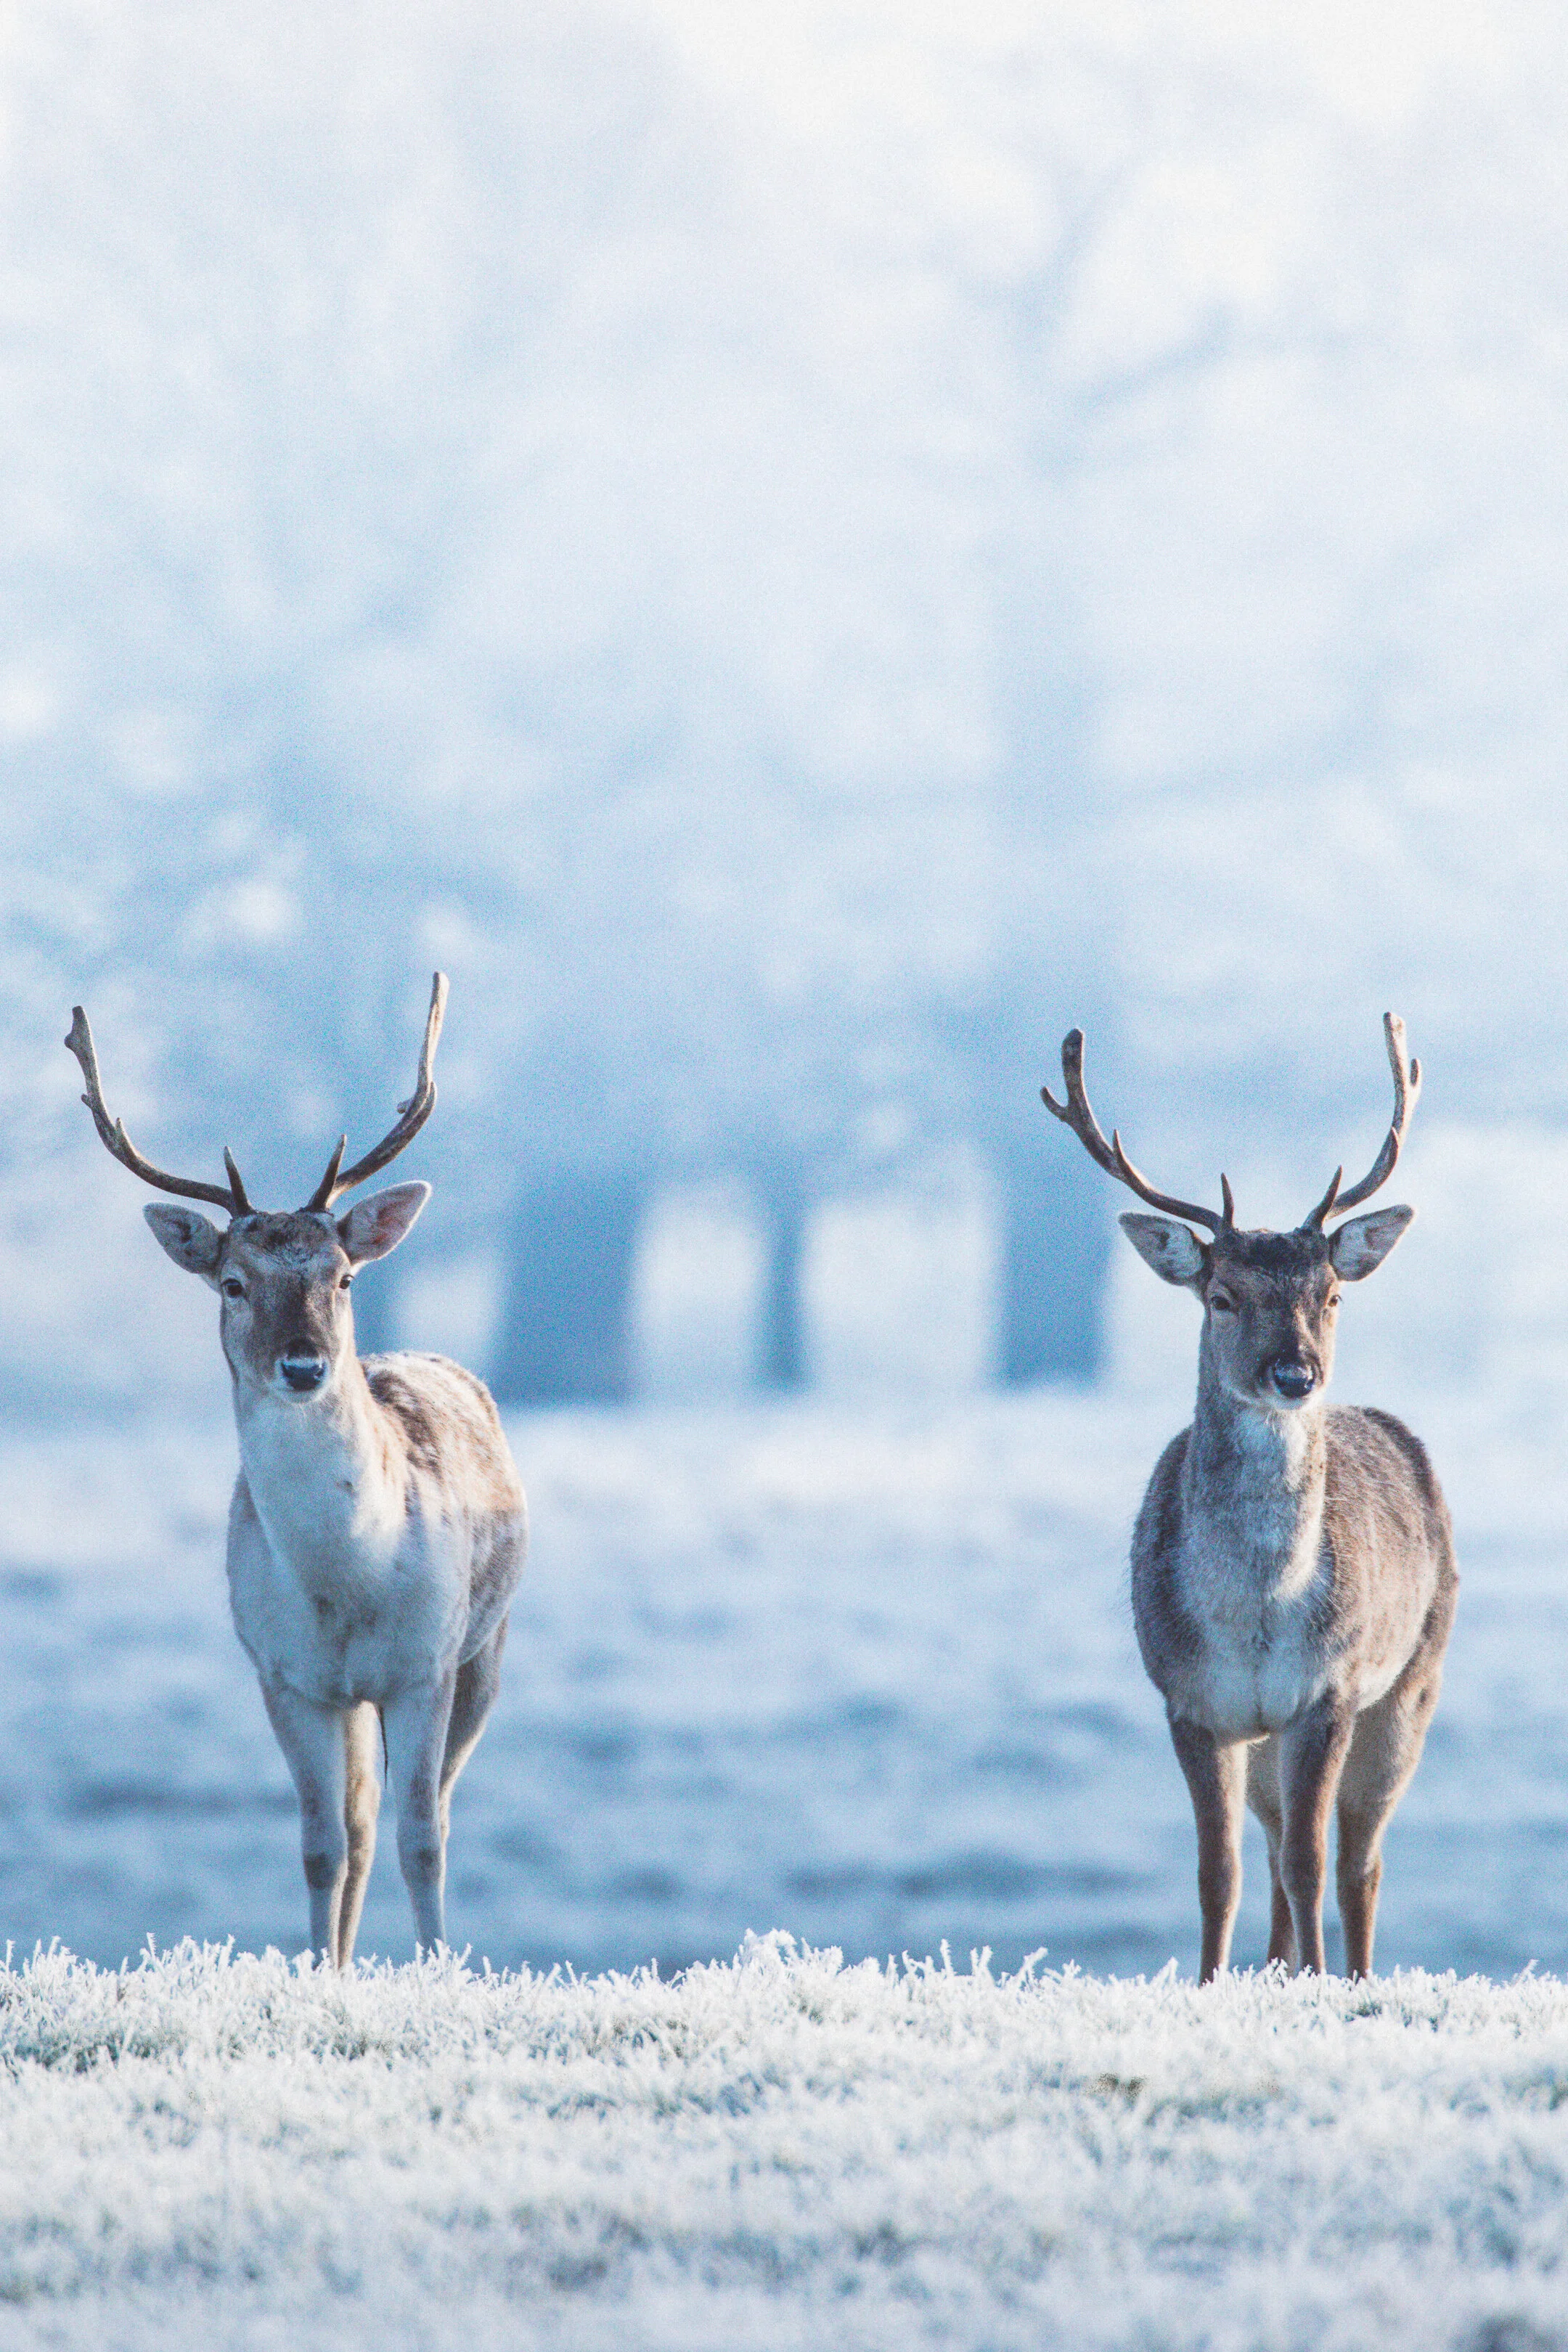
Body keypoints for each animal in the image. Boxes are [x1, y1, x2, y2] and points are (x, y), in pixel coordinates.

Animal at [66, 974, 527, 1968]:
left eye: (343, 1275)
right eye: (234, 1283)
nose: (307, 1365)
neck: (346, 1583)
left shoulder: (425, 1664)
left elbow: (424, 1839)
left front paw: (436, 1971)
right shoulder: (283, 1674)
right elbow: (321, 1846)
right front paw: (322, 1972)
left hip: (488, 1647)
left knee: (427, 1812)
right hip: (346, 1699)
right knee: (356, 1827)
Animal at [1041, 1015, 1457, 1981]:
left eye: (1332, 1295)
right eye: (1222, 1295)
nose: (1294, 1374)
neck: (1257, 1615)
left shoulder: (1328, 1694)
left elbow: (1310, 1860)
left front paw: (1320, 1983)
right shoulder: (1189, 1700)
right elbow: (1219, 1870)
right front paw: (1210, 1984)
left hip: (1414, 1680)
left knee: (1360, 1858)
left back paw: (1352, 1972)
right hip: (1270, 1736)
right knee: (1270, 1855)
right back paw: (1276, 1966)